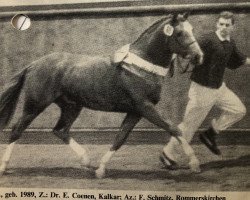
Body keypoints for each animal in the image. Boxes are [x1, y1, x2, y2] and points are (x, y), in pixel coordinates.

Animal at [0, 12, 203, 178]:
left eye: (192, 29)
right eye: (180, 33)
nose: (198, 56)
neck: (141, 67)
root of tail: (33, 64)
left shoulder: (135, 112)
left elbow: (120, 138)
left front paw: (101, 169)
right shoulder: (145, 107)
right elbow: (174, 128)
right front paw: (194, 163)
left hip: (71, 106)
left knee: (60, 130)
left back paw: (86, 160)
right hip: (35, 104)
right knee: (17, 130)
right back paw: (4, 166)